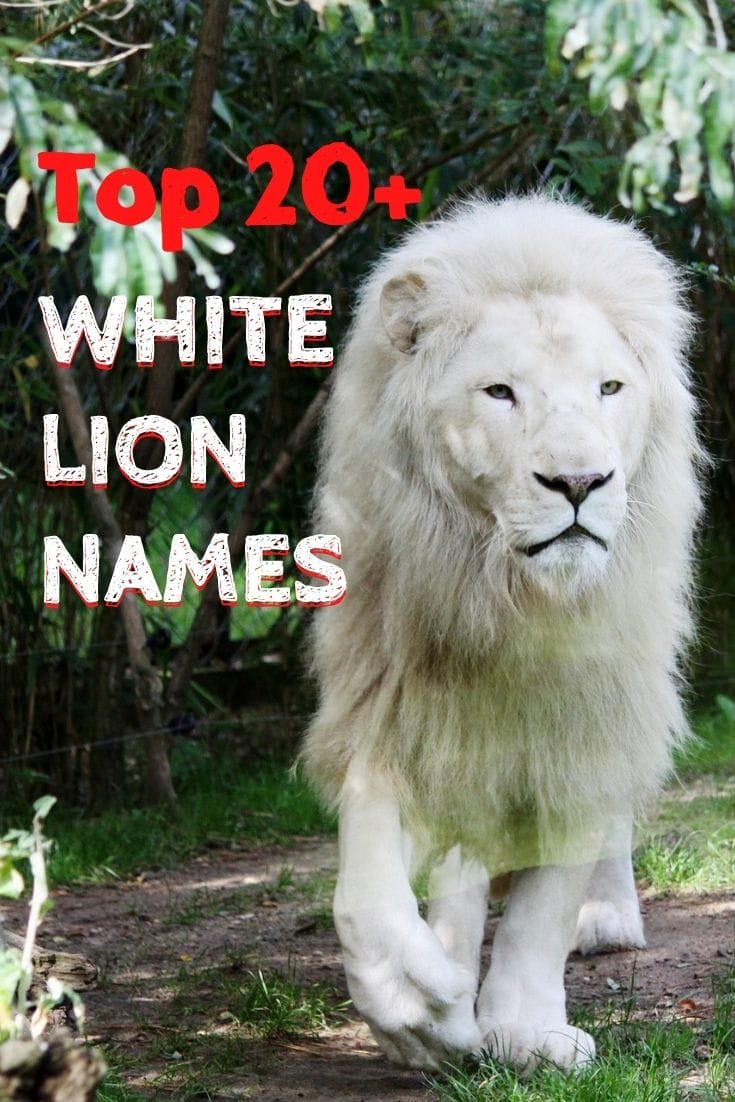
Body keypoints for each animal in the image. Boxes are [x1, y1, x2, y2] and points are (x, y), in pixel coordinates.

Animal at [301, 196, 702, 1073]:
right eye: (499, 393)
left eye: (608, 387)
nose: (579, 482)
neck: (511, 601)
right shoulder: (390, 696)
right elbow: (366, 883)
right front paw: (416, 1005)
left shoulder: (586, 715)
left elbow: (543, 906)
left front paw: (523, 1031)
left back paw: (605, 920)